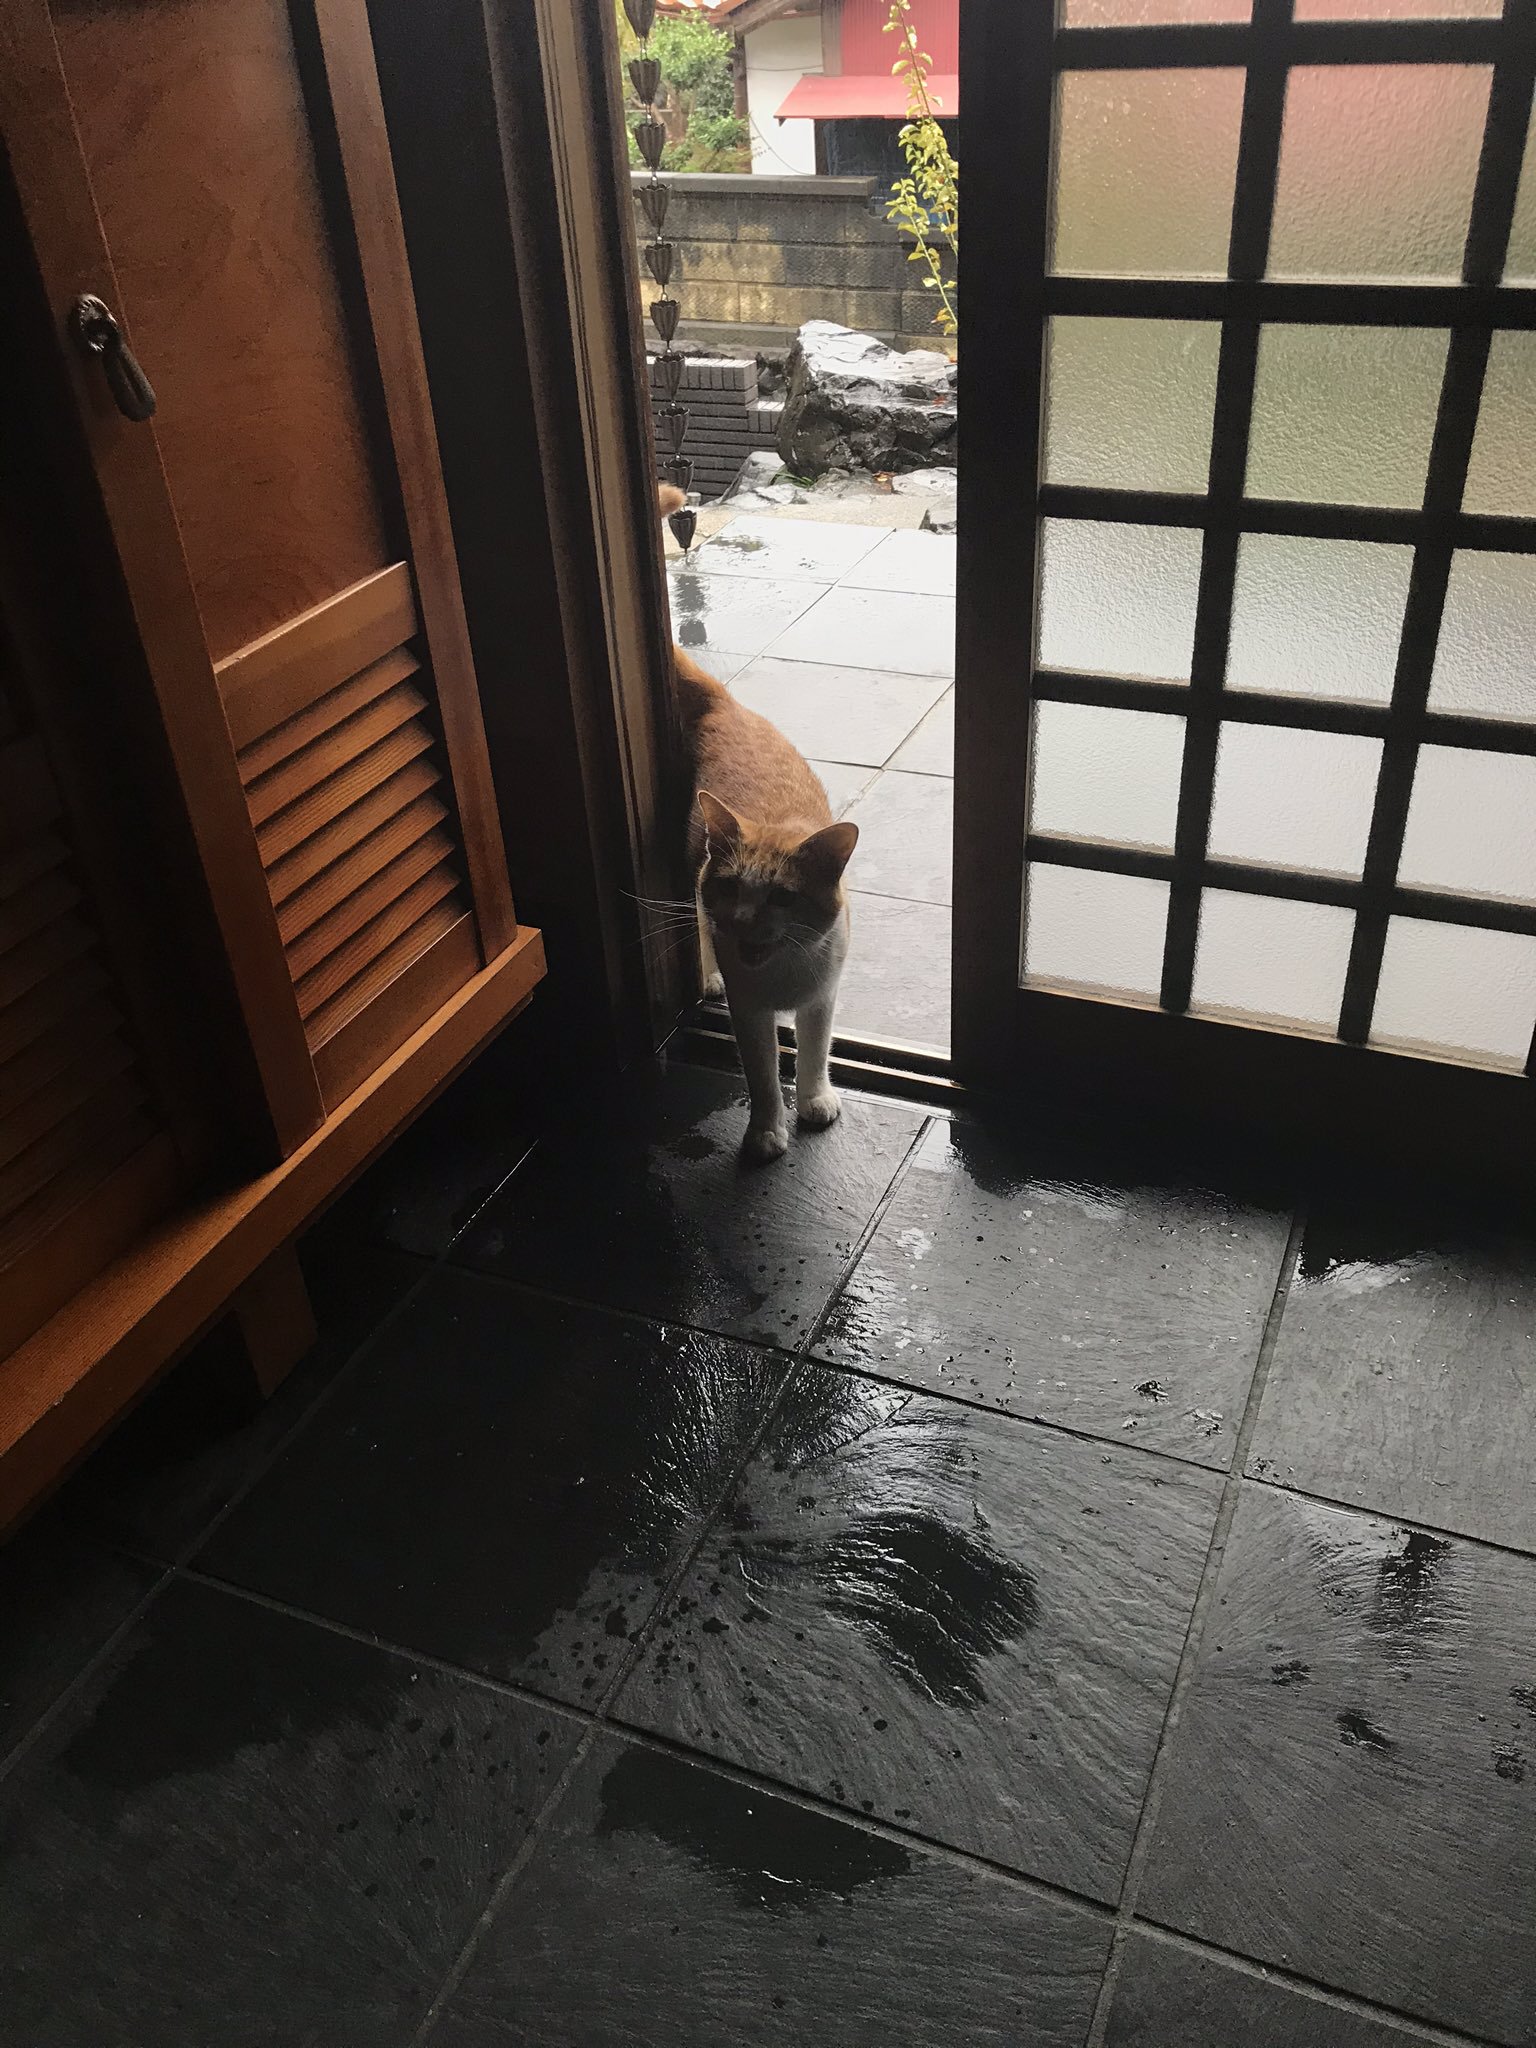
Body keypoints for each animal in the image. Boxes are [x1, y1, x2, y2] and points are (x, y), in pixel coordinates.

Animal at [659, 475, 860, 1155]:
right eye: (732, 888)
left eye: (781, 897)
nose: (743, 921)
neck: (781, 979)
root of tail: (728, 702)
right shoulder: (750, 1014)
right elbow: (765, 1074)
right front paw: (768, 1132)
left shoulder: (822, 998)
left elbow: (815, 1054)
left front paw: (817, 1101)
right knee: (693, 926)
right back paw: (708, 977)